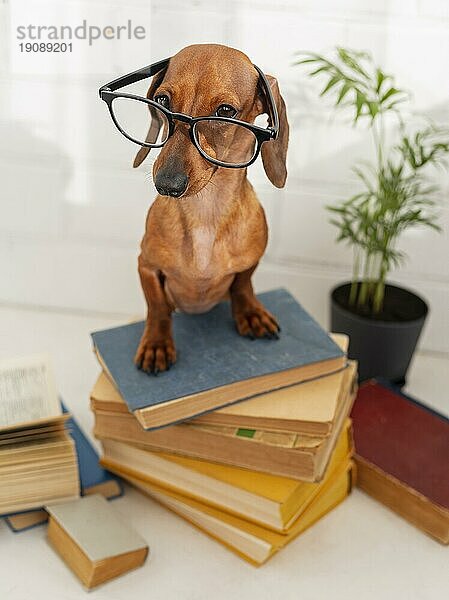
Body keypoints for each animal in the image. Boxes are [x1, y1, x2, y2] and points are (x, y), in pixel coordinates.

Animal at [131, 44, 288, 372]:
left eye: (225, 111)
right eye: (162, 100)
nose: (167, 184)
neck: (206, 212)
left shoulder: (250, 262)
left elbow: (243, 284)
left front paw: (249, 312)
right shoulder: (146, 265)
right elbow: (157, 306)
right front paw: (156, 343)